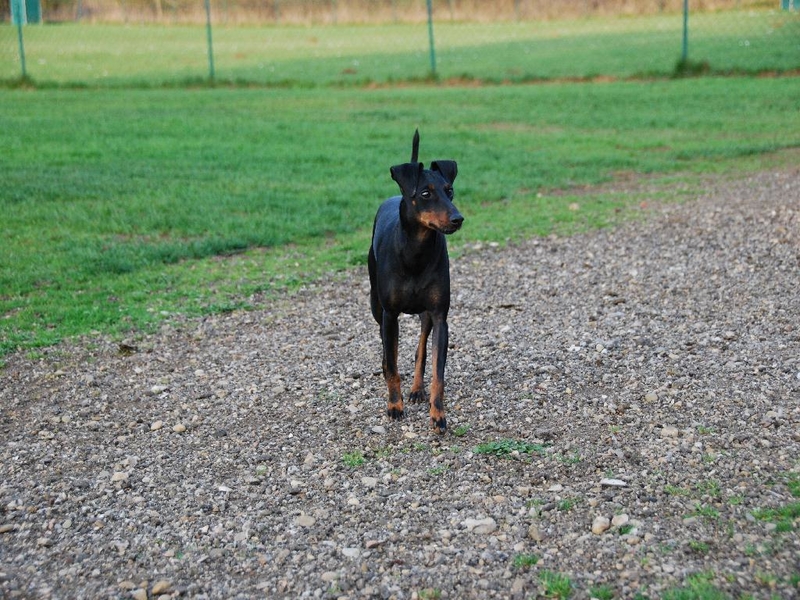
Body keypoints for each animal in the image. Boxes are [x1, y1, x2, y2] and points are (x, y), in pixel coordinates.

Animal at [368, 130, 463, 433]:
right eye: (425, 193)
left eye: (450, 190)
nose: (458, 218)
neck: (415, 252)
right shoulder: (390, 314)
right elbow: (393, 363)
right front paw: (394, 406)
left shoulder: (440, 316)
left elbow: (437, 371)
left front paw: (438, 414)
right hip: (375, 305)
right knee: (387, 349)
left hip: (426, 315)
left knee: (420, 348)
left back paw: (417, 389)